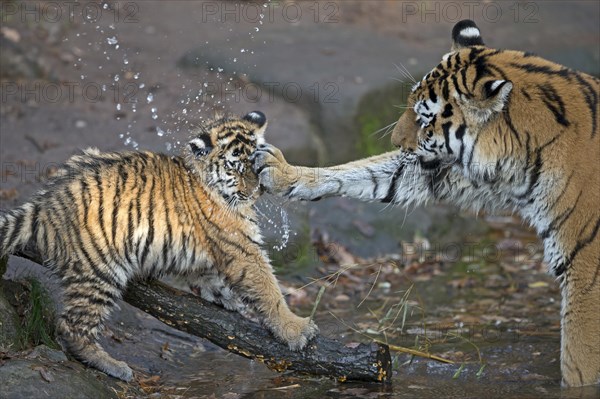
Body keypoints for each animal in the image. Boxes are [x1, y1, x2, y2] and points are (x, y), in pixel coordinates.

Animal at [253, 21, 600, 388]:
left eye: (424, 119)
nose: (395, 141)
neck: (523, 153)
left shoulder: (586, 271)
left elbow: (579, 360)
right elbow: (367, 172)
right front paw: (280, 171)